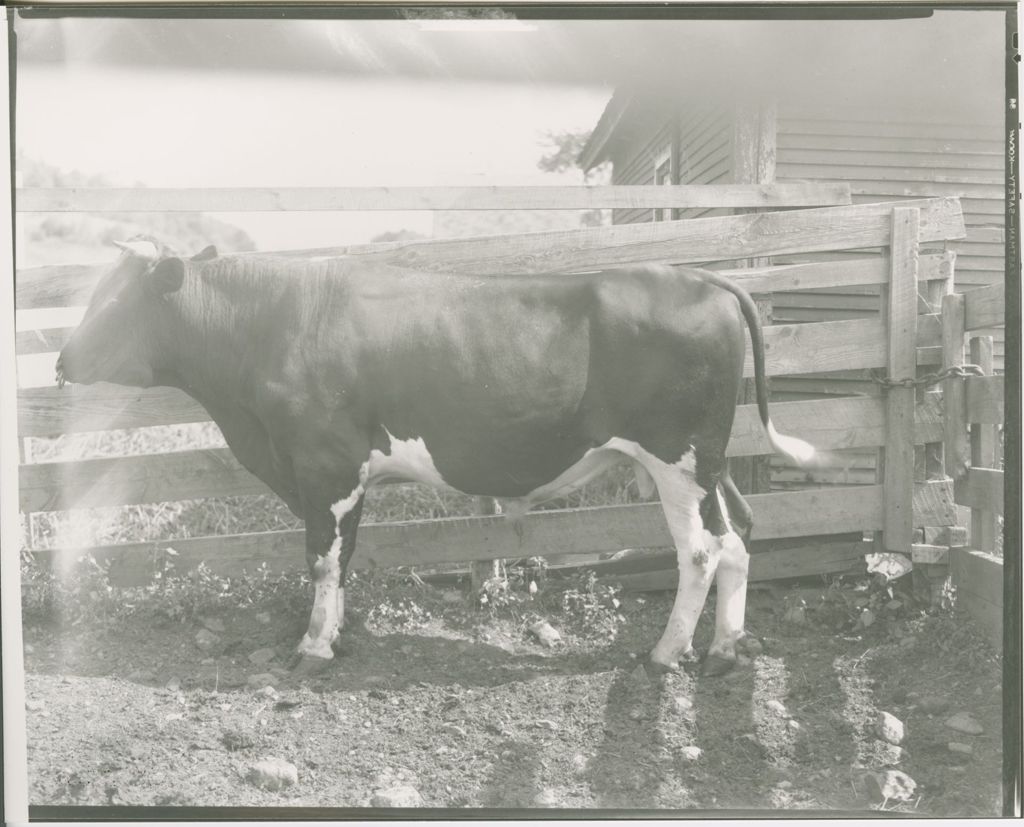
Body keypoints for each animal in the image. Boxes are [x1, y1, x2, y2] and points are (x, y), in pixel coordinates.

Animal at [58, 235, 815, 675]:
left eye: (116, 303)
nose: (61, 360)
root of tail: (702, 278)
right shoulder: (344, 471)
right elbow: (345, 556)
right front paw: (336, 633)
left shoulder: (325, 463)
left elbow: (323, 558)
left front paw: (312, 647)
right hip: (708, 460)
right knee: (738, 535)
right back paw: (723, 649)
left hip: (676, 457)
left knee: (701, 549)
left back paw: (665, 654)